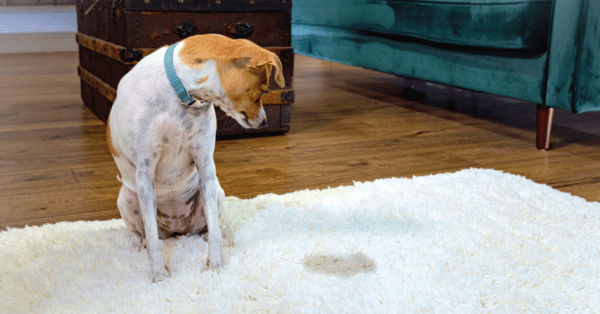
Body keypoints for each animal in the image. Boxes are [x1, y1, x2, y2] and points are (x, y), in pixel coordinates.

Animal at [106, 34, 284, 282]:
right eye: (264, 92)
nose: (266, 122)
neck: (180, 94)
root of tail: (176, 230)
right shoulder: (144, 172)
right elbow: (151, 238)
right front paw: (159, 275)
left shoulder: (205, 164)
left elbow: (215, 231)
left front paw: (216, 266)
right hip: (127, 199)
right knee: (140, 232)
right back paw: (136, 244)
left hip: (216, 192)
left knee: (211, 227)